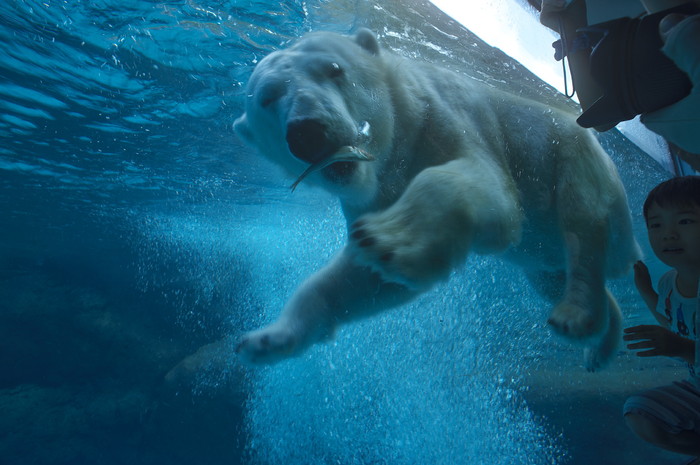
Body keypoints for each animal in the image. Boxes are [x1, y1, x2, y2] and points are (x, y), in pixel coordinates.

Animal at [232, 29, 644, 370]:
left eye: (334, 68)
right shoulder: (372, 195)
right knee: (548, 276)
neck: (398, 144)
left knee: (583, 219)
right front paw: (266, 339)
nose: (306, 132)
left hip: (570, 152)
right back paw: (601, 340)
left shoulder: (443, 117)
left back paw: (577, 313)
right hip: (543, 251)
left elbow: (487, 188)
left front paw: (386, 239)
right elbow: (367, 282)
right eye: (267, 97)